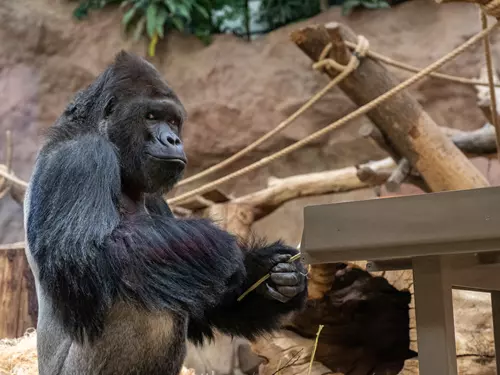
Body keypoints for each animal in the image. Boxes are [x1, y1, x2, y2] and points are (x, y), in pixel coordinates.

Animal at [24, 50, 308, 375]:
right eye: (151, 116)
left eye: (172, 121)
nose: (173, 140)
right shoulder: (80, 156)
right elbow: (86, 253)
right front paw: (211, 244)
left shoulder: (156, 197)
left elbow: (206, 302)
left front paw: (274, 274)